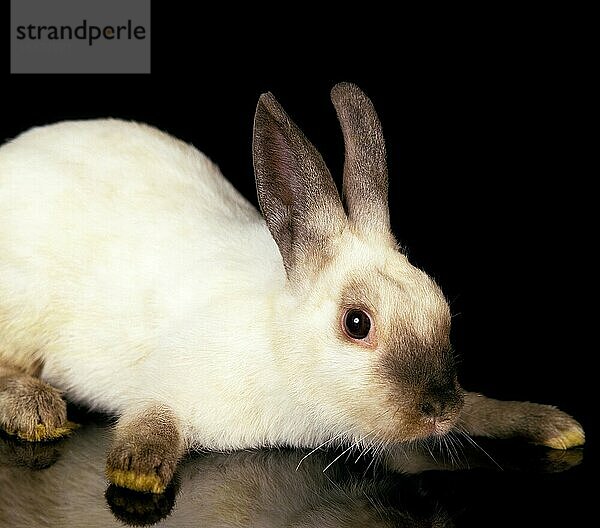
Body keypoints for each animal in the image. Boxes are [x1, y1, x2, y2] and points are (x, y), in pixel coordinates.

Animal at [0, 82, 584, 496]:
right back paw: (37, 412)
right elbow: (153, 418)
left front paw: (552, 426)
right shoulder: (170, 384)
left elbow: (479, 407)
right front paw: (138, 472)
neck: (279, 344)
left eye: (439, 306)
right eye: (356, 323)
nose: (437, 409)